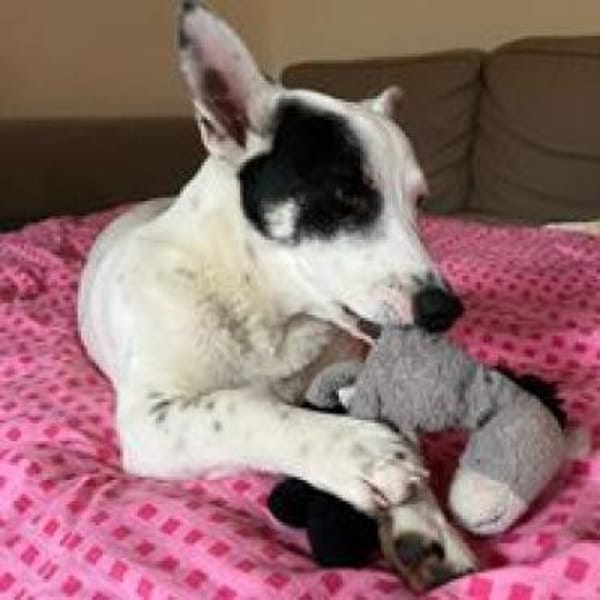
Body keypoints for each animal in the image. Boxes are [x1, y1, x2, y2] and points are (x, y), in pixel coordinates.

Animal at [77, 1, 474, 588]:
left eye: (420, 201)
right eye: (346, 196)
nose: (444, 311)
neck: (265, 307)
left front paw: (425, 522)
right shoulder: (151, 421)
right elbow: (245, 407)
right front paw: (357, 451)